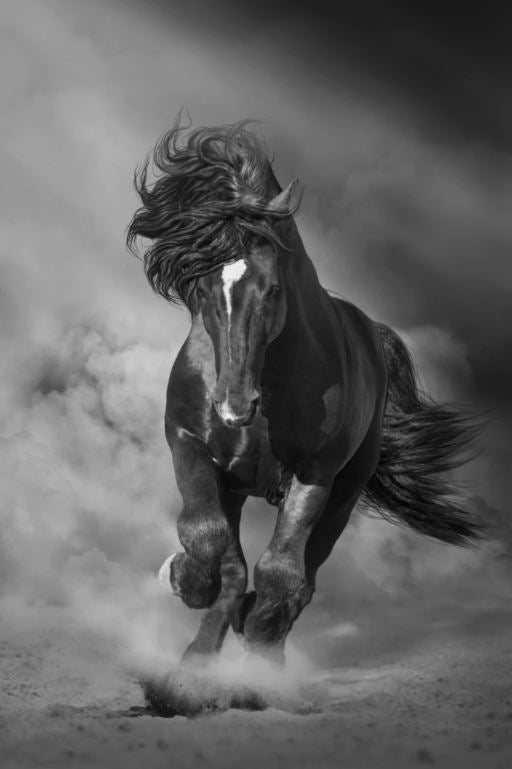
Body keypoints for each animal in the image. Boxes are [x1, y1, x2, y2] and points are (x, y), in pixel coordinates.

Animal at [127, 119, 483, 668]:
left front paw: (258, 648)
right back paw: (199, 658)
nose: (233, 407)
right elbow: (208, 539)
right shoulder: (188, 442)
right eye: (203, 288)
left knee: (301, 579)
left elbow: (281, 573)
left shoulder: (315, 472)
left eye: (272, 289)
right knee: (235, 566)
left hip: (345, 491)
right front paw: (182, 580)